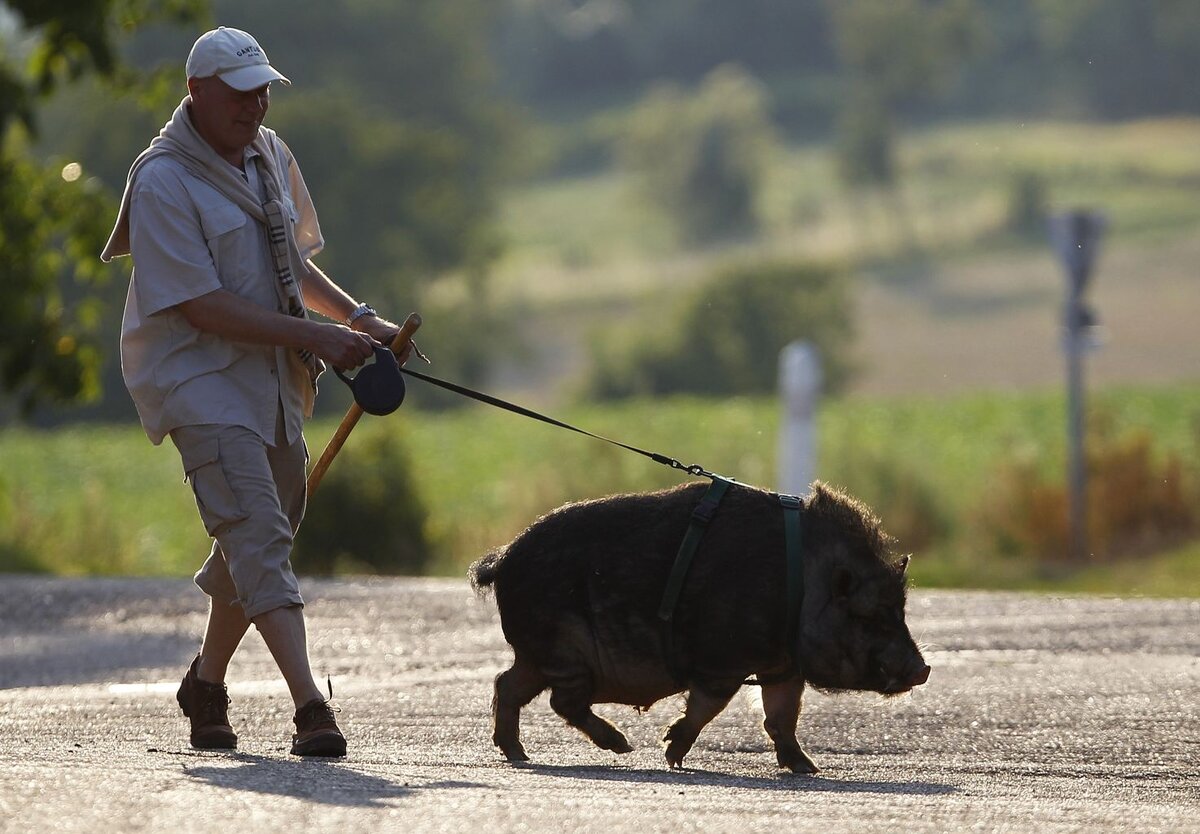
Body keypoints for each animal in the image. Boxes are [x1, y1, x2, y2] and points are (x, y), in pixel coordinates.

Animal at [468, 480, 926, 772]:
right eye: (869, 615)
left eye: (901, 610)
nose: (923, 669)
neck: (804, 585)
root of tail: (503, 559)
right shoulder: (724, 661)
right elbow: (709, 706)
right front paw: (671, 753)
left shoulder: (781, 665)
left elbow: (782, 716)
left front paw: (808, 769)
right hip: (561, 651)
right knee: (560, 701)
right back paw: (622, 747)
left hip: (537, 656)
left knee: (506, 684)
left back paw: (519, 754)